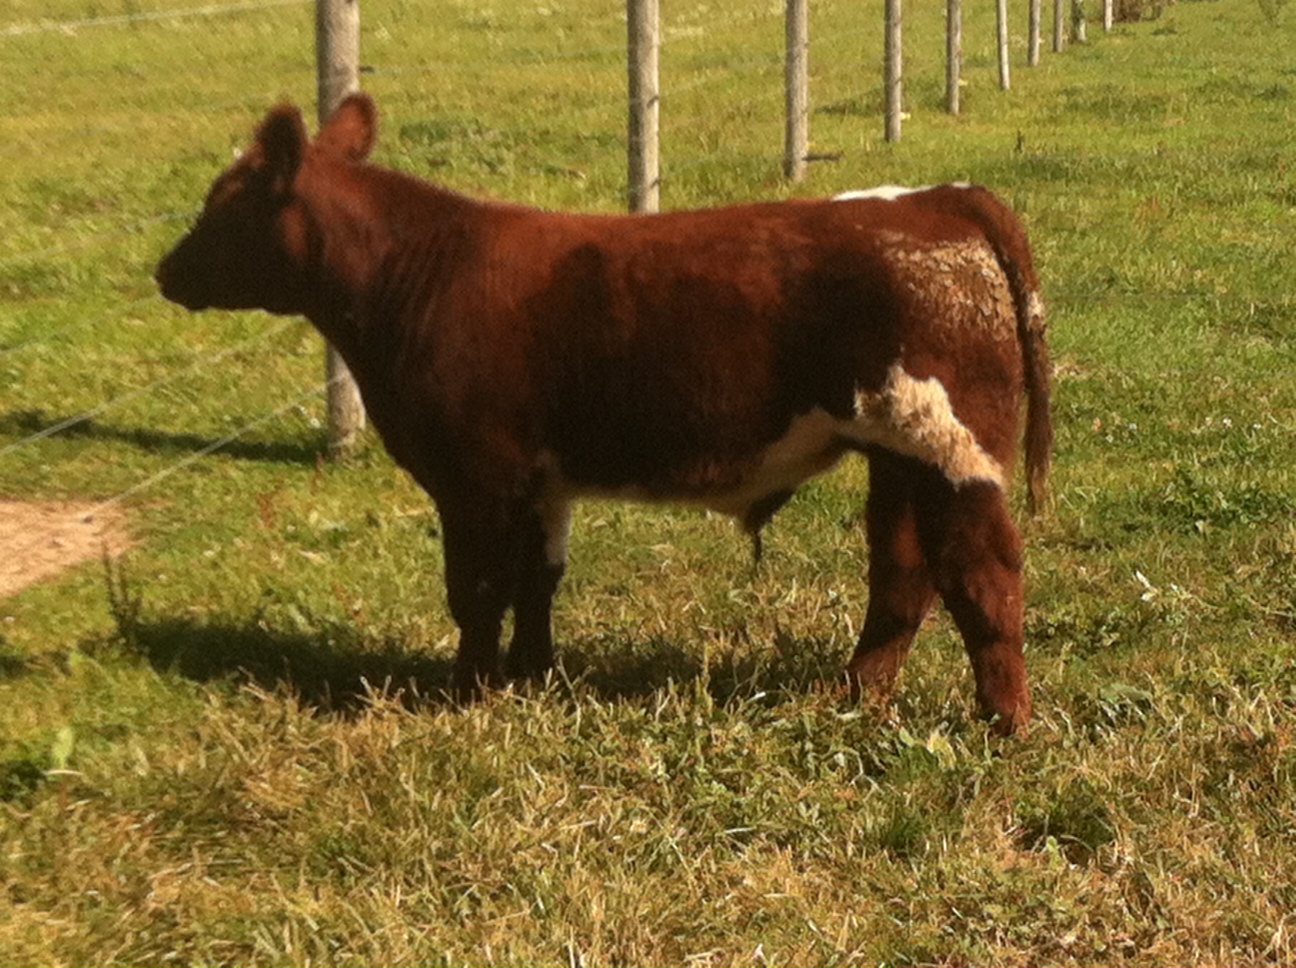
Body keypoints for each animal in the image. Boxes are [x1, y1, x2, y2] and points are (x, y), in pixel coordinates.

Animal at [156, 93, 1051, 735]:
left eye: (224, 203)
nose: (165, 271)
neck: (414, 274)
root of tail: (938, 199)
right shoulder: (539, 479)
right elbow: (536, 579)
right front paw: (530, 676)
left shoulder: (474, 476)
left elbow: (476, 588)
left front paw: (467, 693)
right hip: (897, 455)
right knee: (903, 575)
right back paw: (856, 696)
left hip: (949, 447)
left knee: (983, 574)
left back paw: (1002, 723)